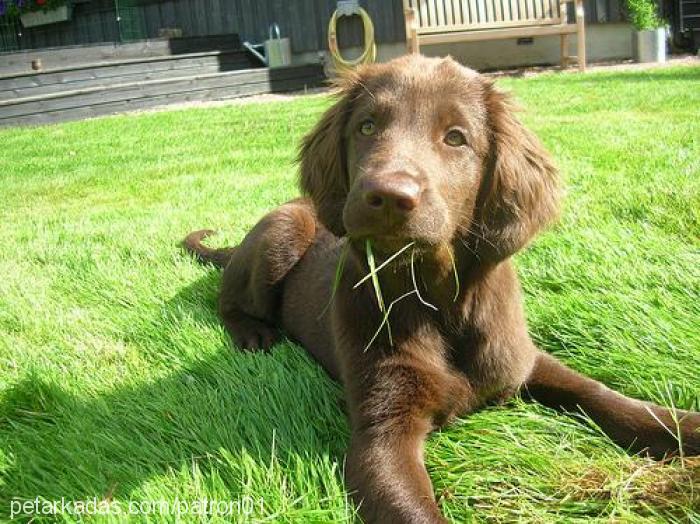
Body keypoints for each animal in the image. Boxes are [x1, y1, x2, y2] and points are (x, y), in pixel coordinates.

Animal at [185, 55, 700, 520]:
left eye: (456, 137)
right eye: (367, 128)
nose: (388, 196)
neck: (437, 301)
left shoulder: (520, 359)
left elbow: (599, 393)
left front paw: (684, 426)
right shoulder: (382, 430)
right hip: (283, 232)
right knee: (225, 299)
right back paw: (253, 334)